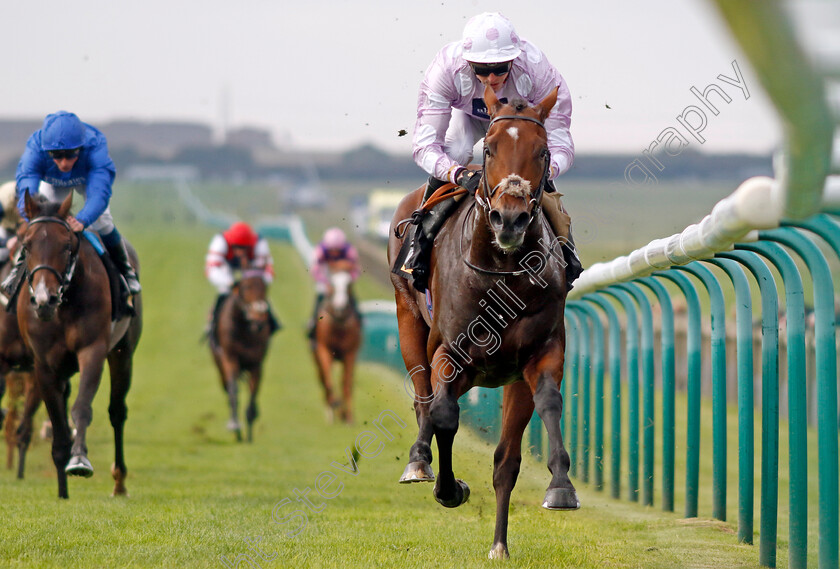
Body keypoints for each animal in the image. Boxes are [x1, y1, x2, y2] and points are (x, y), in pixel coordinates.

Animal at [17, 192, 143, 496]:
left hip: (123, 354)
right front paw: (62, 490)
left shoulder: (92, 351)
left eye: (66, 246)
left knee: (117, 412)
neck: (63, 306)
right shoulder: (44, 365)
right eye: (26, 245)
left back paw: (119, 482)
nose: (44, 300)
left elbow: (81, 408)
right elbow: (59, 424)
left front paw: (79, 460)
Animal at [210, 272, 272, 444]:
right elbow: (233, 390)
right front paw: (235, 425)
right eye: (245, 288)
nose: (258, 319)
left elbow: (253, 393)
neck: (246, 329)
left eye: (265, 288)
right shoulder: (230, 358)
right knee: (227, 386)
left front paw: (249, 429)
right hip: (219, 364)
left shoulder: (256, 364)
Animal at [310, 260, 360, 424]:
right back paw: (331, 410)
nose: (340, 308)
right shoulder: (323, 349)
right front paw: (334, 405)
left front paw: (348, 416)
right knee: (323, 379)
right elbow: (328, 380)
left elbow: (346, 384)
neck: (339, 324)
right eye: (332, 281)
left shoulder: (350, 353)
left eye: (349, 283)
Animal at [388, 86, 576, 556]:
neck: (500, 274)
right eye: (489, 149)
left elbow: (545, 408)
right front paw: (450, 488)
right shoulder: (450, 355)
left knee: (504, 459)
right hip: (408, 319)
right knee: (423, 397)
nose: (509, 219)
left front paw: (560, 488)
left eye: (543, 151)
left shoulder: (538, 355)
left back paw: (499, 544)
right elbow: (443, 415)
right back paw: (419, 461)